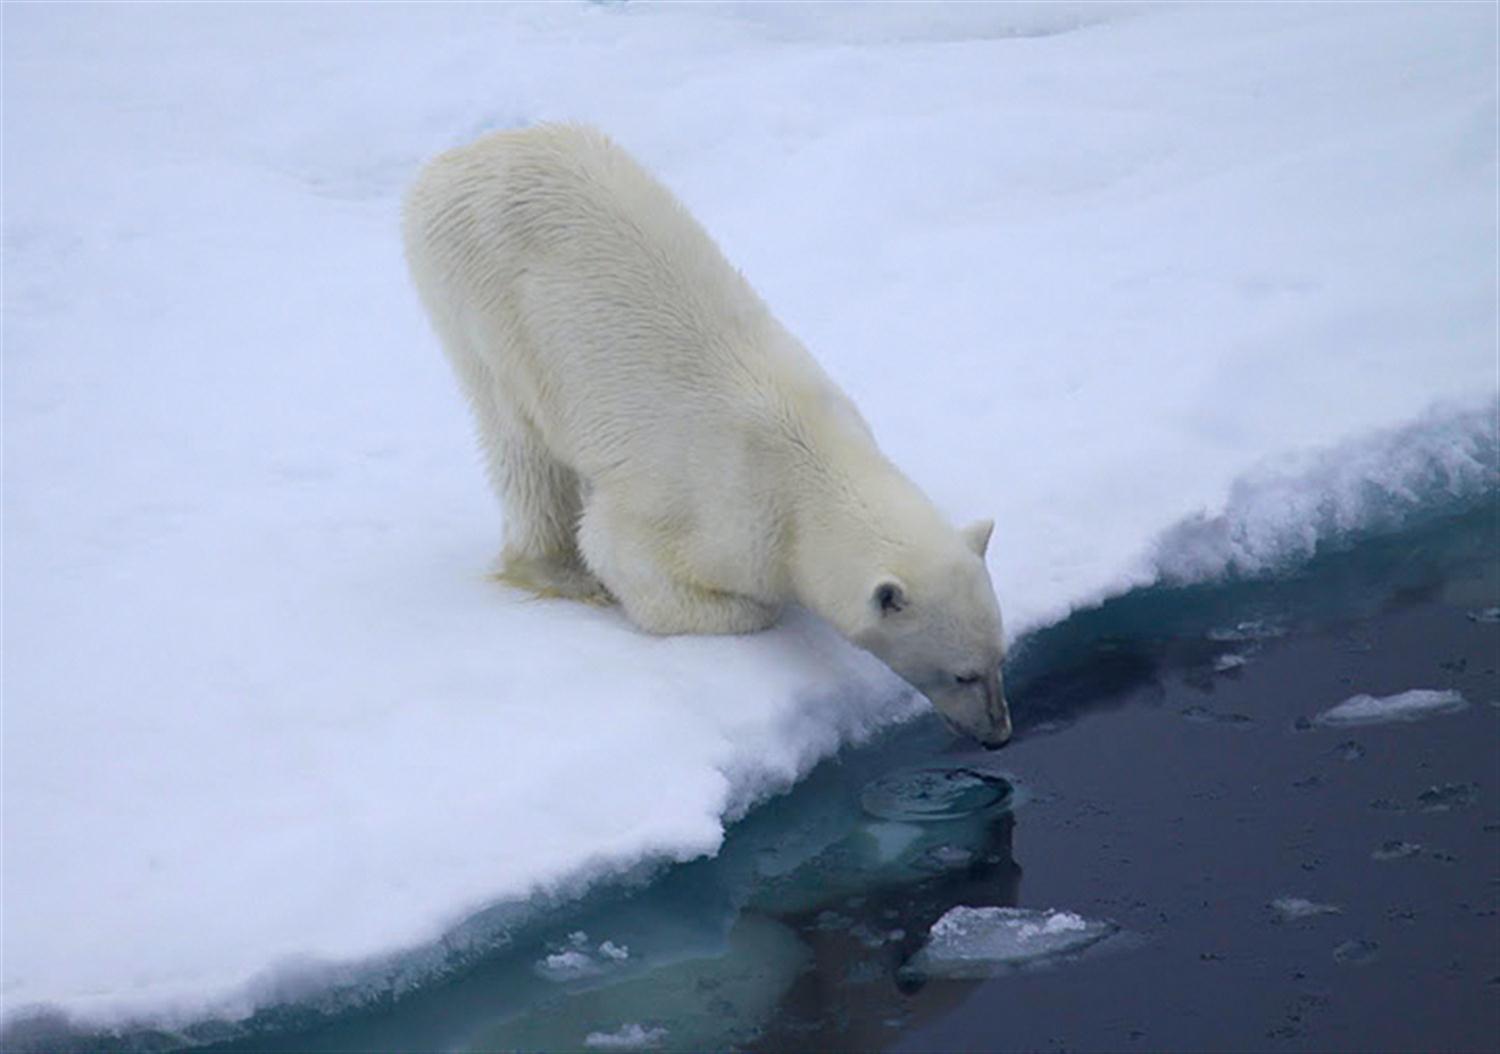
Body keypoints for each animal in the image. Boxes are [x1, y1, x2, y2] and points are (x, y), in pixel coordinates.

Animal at [402, 123, 1008, 746]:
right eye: (962, 673)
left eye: (1000, 657)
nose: (999, 732)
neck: (808, 465)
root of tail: (456, 159)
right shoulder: (722, 514)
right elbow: (629, 554)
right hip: (479, 294)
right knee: (519, 440)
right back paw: (559, 570)